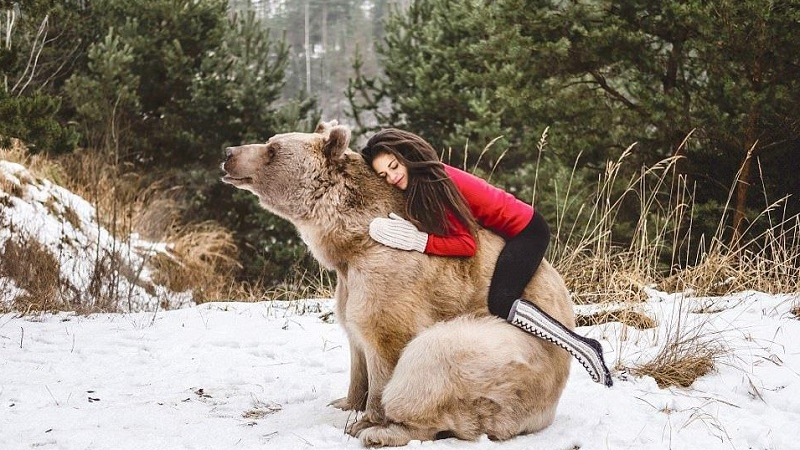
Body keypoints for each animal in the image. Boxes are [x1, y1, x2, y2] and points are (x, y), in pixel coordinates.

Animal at [220, 119, 576, 446]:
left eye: (272, 149)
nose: (228, 153)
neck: (352, 239)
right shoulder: (349, 281)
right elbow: (354, 337)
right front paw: (345, 402)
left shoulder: (390, 268)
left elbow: (386, 336)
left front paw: (366, 420)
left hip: (516, 356)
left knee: (435, 357)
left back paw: (386, 432)